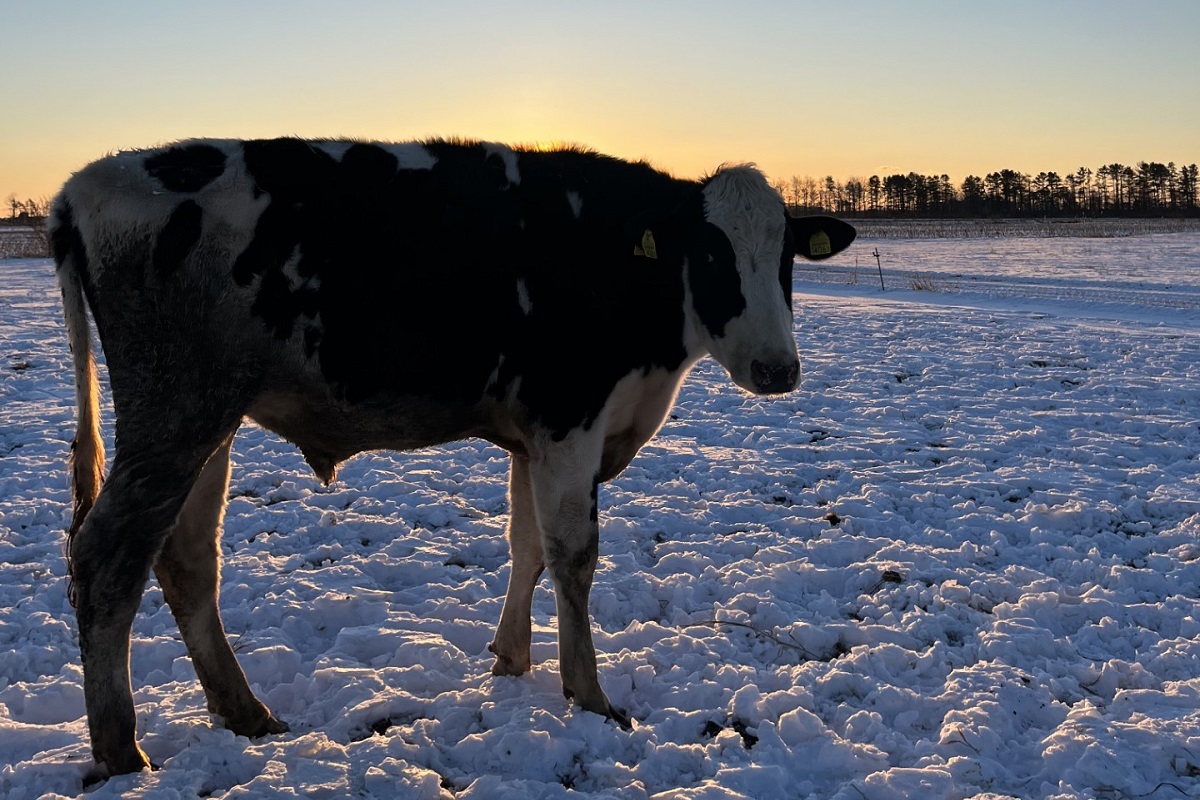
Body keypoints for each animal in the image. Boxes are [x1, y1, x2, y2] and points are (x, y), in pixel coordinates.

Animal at [46, 139, 854, 782]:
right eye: (712, 254)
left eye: (785, 257)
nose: (777, 369)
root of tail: (83, 182)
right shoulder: (568, 420)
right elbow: (574, 556)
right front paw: (589, 693)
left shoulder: (534, 435)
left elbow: (527, 545)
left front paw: (512, 656)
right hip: (173, 414)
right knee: (107, 558)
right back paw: (120, 749)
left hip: (206, 423)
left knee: (186, 558)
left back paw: (244, 711)